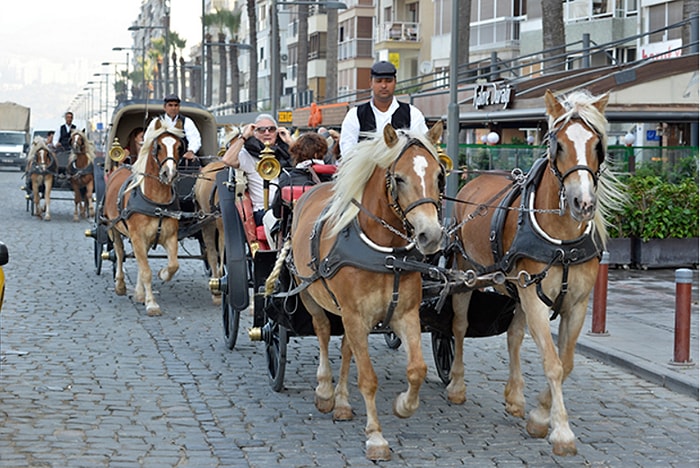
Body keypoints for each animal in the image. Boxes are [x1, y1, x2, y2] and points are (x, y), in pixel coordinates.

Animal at [102, 116, 186, 318]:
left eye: (179, 147)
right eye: (158, 146)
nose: (169, 173)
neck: (156, 202)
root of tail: (120, 167)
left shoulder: (169, 237)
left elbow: (173, 265)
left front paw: (162, 274)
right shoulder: (137, 236)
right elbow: (145, 269)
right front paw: (152, 304)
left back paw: (139, 293)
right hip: (113, 227)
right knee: (119, 253)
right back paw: (120, 285)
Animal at [278, 121, 446, 460]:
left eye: (439, 176)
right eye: (399, 178)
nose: (430, 235)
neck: (386, 254)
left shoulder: (405, 314)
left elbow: (417, 369)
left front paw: (404, 405)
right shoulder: (355, 315)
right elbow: (368, 379)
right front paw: (376, 437)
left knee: (346, 348)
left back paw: (342, 403)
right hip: (310, 295)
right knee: (323, 332)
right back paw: (325, 391)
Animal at [446, 89, 620, 456]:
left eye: (597, 145)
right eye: (558, 144)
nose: (583, 203)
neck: (562, 239)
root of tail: (475, 179)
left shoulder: (575, 304)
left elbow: (565, 362)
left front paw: (540, 417)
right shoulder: (535, 298)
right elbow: (552, 362)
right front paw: (561, 431)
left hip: (516, 289)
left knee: (513, 335)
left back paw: (514, 397)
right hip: (465, 273)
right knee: (458, 327)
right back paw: (456, 385)